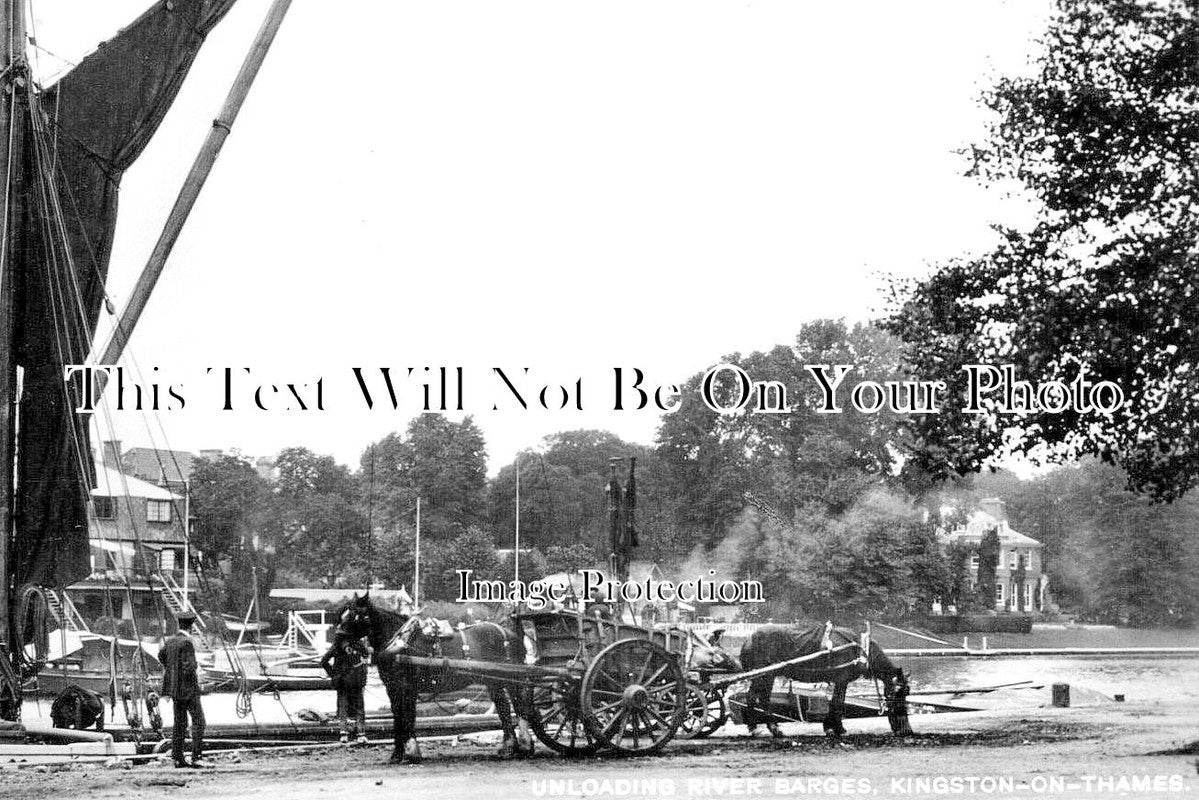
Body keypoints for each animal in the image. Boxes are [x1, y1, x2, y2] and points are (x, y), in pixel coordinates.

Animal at [333, 594, 529, 762]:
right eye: (343, 615)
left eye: (356, 616)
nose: (338, 640)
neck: (400, 644)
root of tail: (513, 635)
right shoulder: (393, 688)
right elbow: (398, 717)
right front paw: (397, 754)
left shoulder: (406, 687)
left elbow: (407, 717)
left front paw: (411, 752)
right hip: (493, 682)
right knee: (504, 708)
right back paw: (510, 748)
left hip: (508, 680)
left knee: (516, 707)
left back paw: (522, 746)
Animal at [733, 623, 911, 743]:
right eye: (897, 693)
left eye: (906, 692)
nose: (906, 730)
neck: (861, 649)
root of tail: (749, 639)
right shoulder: (842, 680)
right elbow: (838, 702)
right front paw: (837, 728)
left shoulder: (840, 681)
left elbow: (835, 702)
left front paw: (830, 726)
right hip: (763, 675)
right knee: (753, 697)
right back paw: (757, 728)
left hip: (767, 676)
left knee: (761, 698)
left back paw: (769, 728)